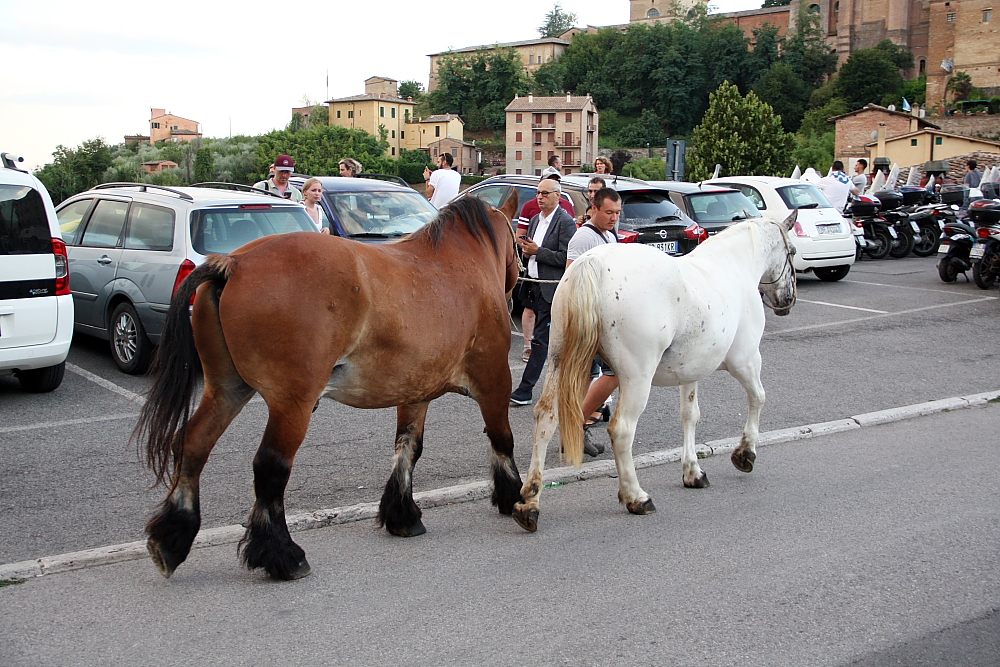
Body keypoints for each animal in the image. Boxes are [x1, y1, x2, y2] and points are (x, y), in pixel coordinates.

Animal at [134, 193, 520, 580]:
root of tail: (234, 263)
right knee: (270, 467)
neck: (459, 262)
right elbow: (502, 439)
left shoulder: (415, 392)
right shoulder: (495, 380)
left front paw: (402, 514)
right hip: (293, 404)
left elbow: (408, 448)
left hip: (226, 390)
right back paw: (282, 554)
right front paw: (517, 497)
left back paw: (172, 538)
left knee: (193, 443)